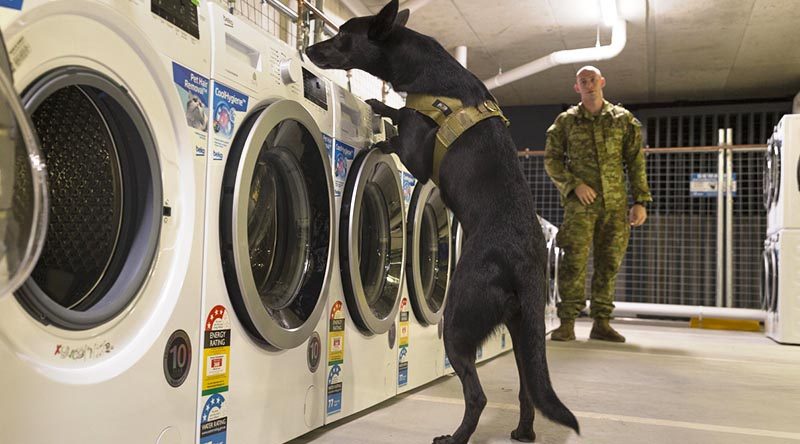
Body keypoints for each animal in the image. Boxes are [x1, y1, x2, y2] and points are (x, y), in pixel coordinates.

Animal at [304, 1, 576, 442]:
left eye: (343, 34)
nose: (310, 51)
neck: (429, 70)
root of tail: (523, 261)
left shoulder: (416, 157)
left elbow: (400, 124)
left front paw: (383, 113)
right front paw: (380, 105)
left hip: (458, 321)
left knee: (477, 395)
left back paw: (457, 436)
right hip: (522, 330)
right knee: (527, 390)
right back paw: (522, 431)